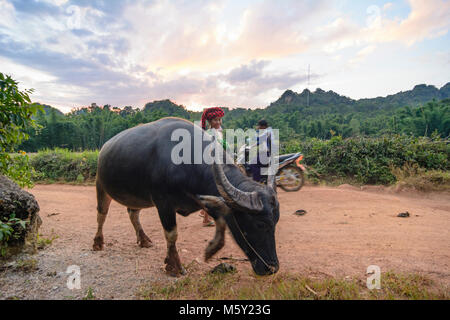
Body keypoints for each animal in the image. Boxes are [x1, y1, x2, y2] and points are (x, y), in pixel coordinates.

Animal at [93, 117, 280, 276]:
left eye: (275, 222)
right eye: (260, 224)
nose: (272, 268)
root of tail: (103, 149)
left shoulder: (206, 200)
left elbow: (220, 223)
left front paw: (210, 249)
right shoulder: (163, 203)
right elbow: (171, 234)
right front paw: (173, 266)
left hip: (135, 196)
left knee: (133, 214)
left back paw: (144, 240)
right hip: (100, 186)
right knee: (101, 215)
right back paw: (98, 243)